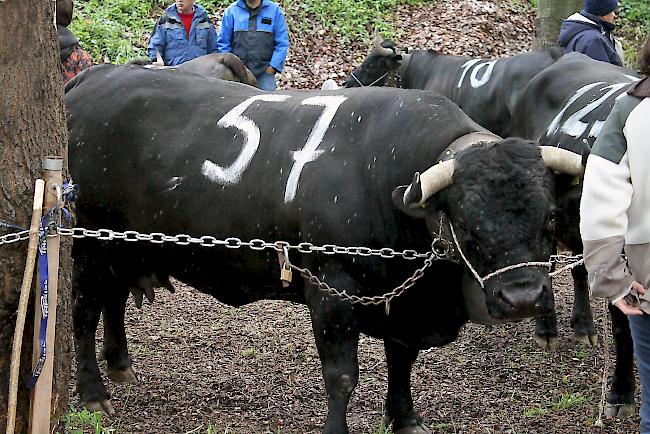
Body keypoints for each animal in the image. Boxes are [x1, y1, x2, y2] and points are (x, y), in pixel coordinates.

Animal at [66, 64, 580, 434]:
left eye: (551, 218)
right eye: (467, 226)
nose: (523, 298)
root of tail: (94, 77)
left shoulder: (402, 302)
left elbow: (401, 360)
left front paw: (405, 418)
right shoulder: (333, 289)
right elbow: (342, 376)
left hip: (125, 248)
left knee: (113, 300)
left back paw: (120, 364)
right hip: (88, 241)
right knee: (85, 310)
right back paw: (92, 390)